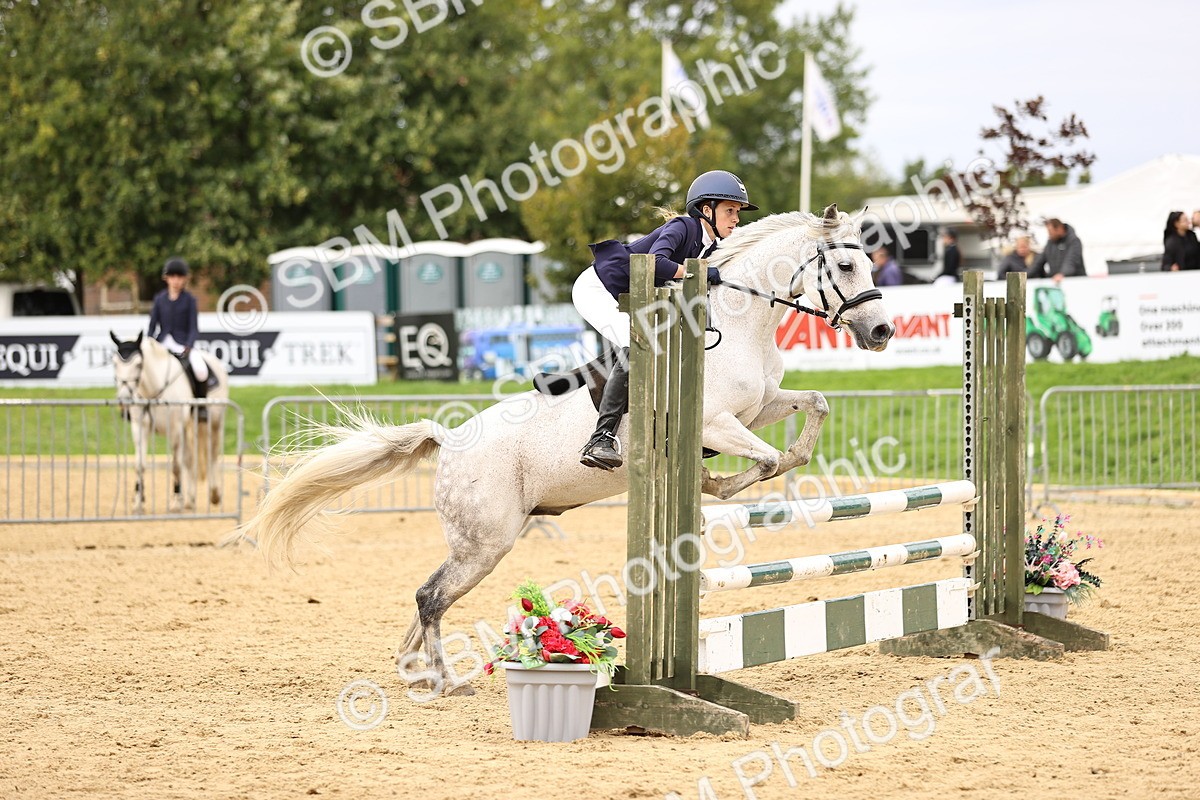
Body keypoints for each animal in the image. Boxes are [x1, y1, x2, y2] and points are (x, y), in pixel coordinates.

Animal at [110, 331, 229, 513]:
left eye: (138, 364)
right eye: (115, 363)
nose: (124, 399)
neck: (152, 391)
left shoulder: (175, 429)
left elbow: (176, 465)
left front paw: (176, 501)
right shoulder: (140, 427)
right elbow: (140, 465)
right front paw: (138, 502)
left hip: (214, 423)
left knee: (212, 455)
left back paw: (214, 494)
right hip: (188, 427)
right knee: (190, 459)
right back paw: (190, 500)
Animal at [237, 205, 895, 695]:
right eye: (844, 263)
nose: (882, 332)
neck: (737, 321)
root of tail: (449, 440)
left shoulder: (762, 406)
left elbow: (811, 412)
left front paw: (765, 467)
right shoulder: (717, 421)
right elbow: (762, 461)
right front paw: (713, 486)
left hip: (479, 541)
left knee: (427, 599)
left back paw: (411, 670)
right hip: (487, 542)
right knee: (431, 596)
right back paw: (446, 680)